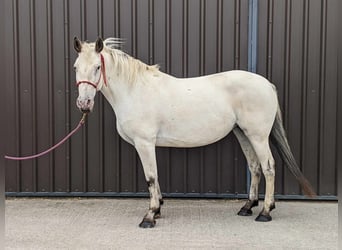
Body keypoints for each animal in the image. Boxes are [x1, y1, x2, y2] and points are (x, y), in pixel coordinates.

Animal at [73, 36, 316, 229]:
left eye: (97, 67)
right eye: (76, 67)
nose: (84, 104)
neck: (135, 90)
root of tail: (267, 84)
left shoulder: (144, 143)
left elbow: (150, 177)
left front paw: (149, 217)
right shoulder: (148, 144)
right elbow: (155, 177)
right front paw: (158, 210)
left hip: (258, 136)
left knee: (268, 168)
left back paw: (265, 212)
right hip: (243, 133)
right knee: (255, 167)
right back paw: (247, 207)